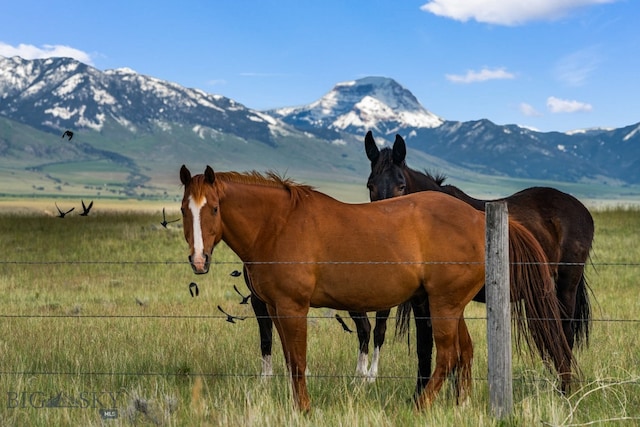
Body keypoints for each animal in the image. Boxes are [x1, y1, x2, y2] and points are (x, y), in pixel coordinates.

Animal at [179, 165, 568, 412]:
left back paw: (420, 407)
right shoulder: (274, 308)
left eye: (214, 208)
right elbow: (288, 359)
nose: (199, 260)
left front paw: (304, 409)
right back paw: (460, 405)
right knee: (464, 352)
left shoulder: (293, 308)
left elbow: (299, 361)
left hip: (443, 305)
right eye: (184, 210)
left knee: (447, 356)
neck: (279, 224)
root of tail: (478, 217)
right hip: (449, 305)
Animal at [364, 131, 596, 394]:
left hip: (566, 284)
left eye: (401, 186)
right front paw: (423, 394)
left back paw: (565, 391)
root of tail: (579, 208)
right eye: (371, 186)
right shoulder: (421, 300)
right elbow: (424, 348)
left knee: (564, 334)